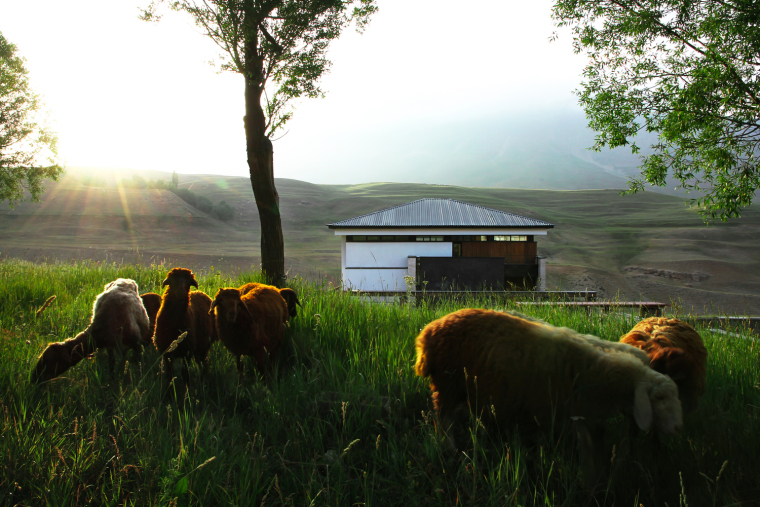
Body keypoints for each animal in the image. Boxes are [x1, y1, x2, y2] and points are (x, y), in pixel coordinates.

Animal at [416, 310, 684, 456]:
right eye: (658, 399)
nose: (676, 428)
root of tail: (428, 331)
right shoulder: (546, 411)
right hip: (447, 384)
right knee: (444, 419)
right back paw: (449, 448)